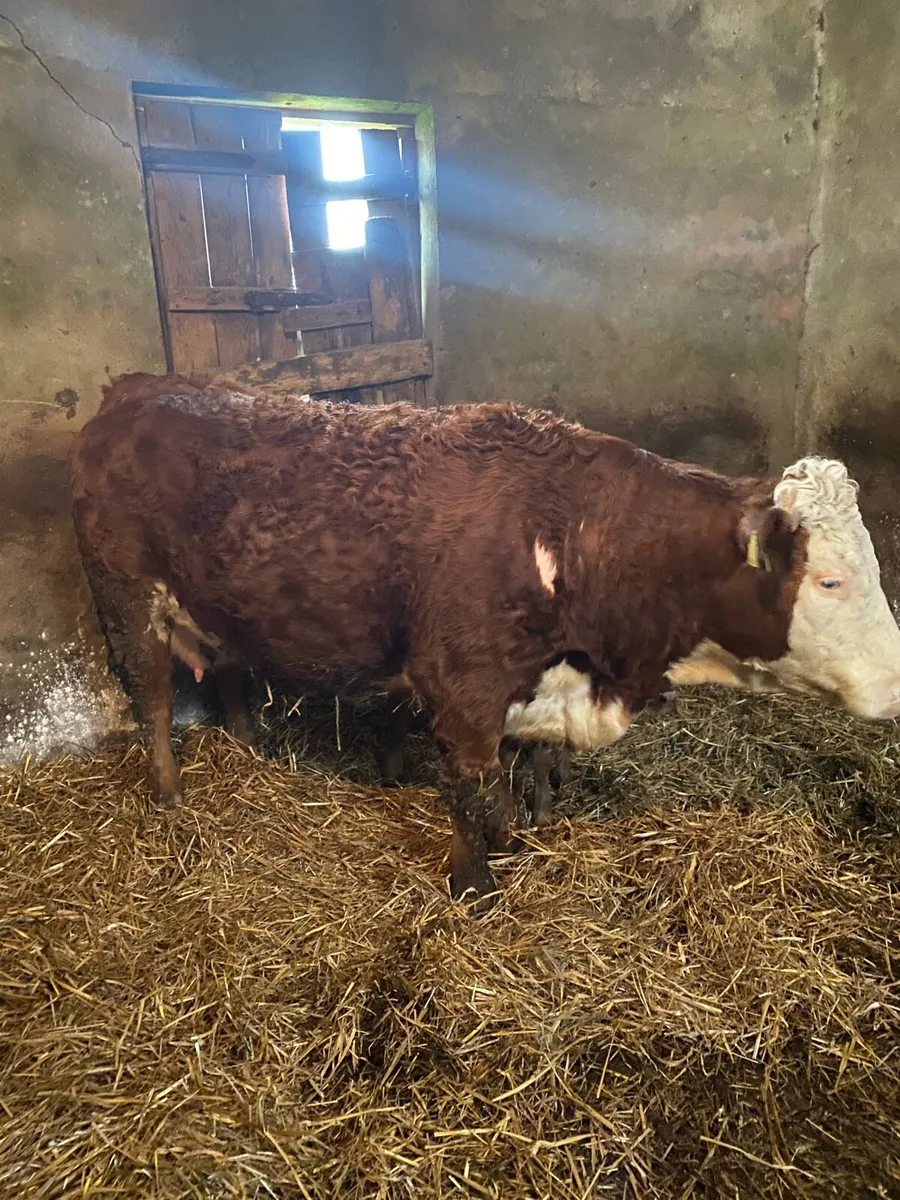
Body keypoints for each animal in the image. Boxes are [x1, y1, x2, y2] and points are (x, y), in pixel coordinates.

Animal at [69, 374, 900, 910]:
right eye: (830, 581)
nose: (895, 685)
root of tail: (136, 389)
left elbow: (534, 770)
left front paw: (536, 823)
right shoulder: (461, 690)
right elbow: (473, 798)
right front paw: (476, 891)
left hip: (219, 605)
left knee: (229, 672)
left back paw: (250, 745)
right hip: (125, 602)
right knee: (151, 703)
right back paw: (172, 799)